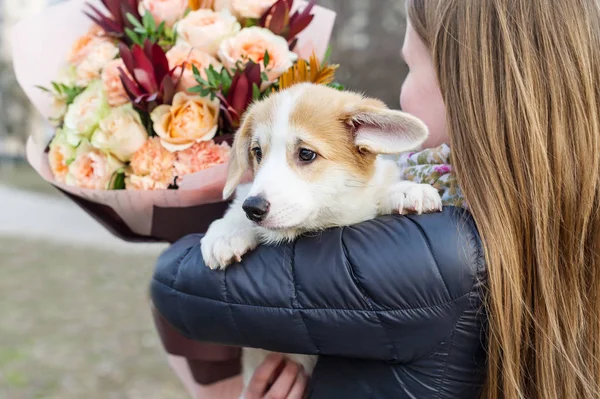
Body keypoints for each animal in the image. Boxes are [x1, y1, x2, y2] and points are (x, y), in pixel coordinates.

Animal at [202, 83, 440, 390]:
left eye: (306, 154)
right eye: (257, 152)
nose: (253, 209)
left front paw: (408, 191)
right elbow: (236, 208)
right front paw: (226, 234)